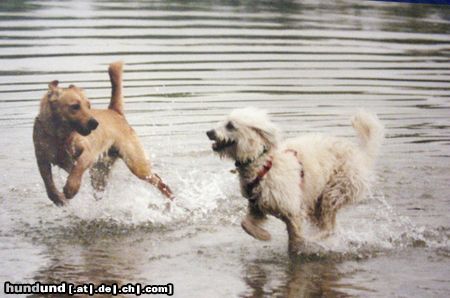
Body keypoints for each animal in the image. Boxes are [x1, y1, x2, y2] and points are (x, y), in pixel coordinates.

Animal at [33, 60, 174, 205]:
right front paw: (56, 197)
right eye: (75, 106)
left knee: (161, 183)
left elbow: (78, 167)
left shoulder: (88, 153)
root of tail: (115, 111)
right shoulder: (41, 159)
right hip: (100, 174)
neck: (59, 137)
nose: (95, 123)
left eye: (88, 106)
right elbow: (47, 181)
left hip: (137, 164)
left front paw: (71, 188)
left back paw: (170, 202)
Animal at [207, 108, 384, 255]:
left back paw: (317, 240)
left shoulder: (293, 210)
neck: (262, 162)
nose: (209, 132)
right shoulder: (256, 205)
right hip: (317, 201)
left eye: (230, 125)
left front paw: (298, 248)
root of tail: (360, 156)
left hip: (335, 191)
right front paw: (264, 235)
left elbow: (295, 238)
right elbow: (245, 224)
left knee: (329, 226)